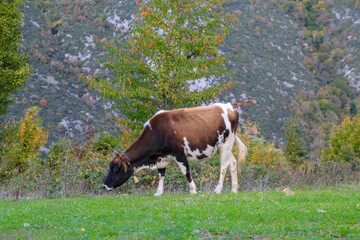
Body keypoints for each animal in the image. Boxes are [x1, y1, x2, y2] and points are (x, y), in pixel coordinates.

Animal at [102, 102, 246, 195]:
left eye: (115, 168)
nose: (104, 186)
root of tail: (229, 107)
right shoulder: (161, 157)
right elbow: (161, 174)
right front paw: (158, 192)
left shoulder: (179, 153)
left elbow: (186, 171)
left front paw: (193, 190)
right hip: (223, 146)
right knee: (233, 163)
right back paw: (234, 189)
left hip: (226, 143)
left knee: (223, 166)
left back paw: (218, 190)